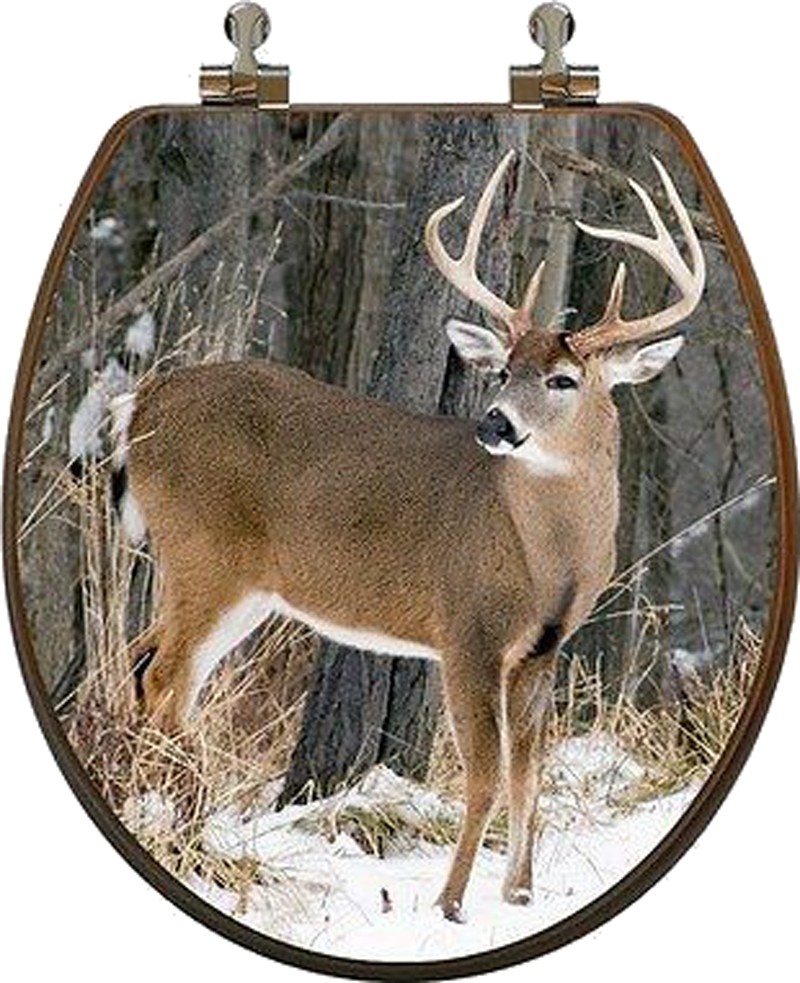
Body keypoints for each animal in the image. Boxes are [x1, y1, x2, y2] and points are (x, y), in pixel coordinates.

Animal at [112, 149, 705, 922]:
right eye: (503, 369)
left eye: (563, 379)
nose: (495, 421)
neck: (547, 557)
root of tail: (144, 400)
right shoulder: (467, 630)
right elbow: (485, 773)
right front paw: (452, 902)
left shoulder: (542, 649)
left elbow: (529, 770)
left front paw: (520, 891)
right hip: (202, 554)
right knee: (161, 675)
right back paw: (183, 828)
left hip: (240, 586)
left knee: (151, 666)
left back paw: (169, 818)